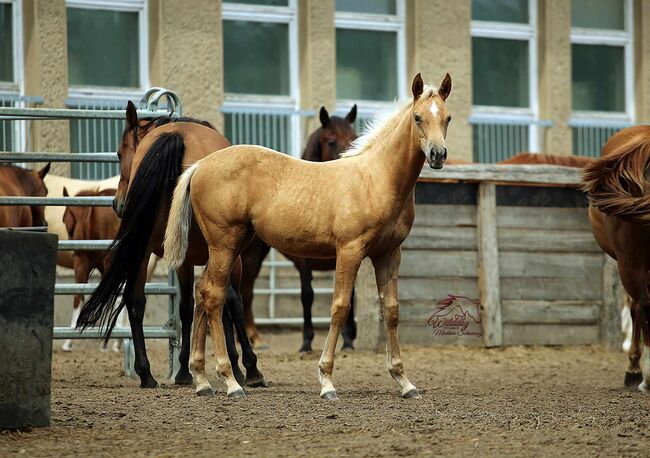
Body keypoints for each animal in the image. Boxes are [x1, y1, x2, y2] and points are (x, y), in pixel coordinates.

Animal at [77, 103, 264, 390]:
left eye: (120, 153)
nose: (118, 203)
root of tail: (176, 136)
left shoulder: (184, 260)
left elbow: (187, 307)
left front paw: (186, 370)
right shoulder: (227, 255)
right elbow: (229, 302)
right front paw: (245, 367)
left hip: (143, 249)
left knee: (135, 301)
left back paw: (146, 374)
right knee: (224, 298)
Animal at [239, 104, 360, 354]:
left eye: (354, 138)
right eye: (331, 141)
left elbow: (349, 295)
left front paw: (348, 339)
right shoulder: (304, 263)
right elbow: (307, 295)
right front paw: (306, 341)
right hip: (251, 255)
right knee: (246, 290)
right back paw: (253, 337)